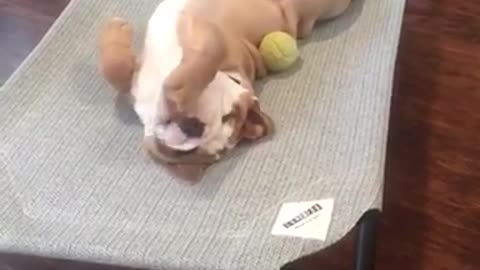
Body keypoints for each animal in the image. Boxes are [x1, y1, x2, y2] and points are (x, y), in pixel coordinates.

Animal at [98, 0, 352, 178]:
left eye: (227, 117)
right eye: (186, 153)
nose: (194, 127)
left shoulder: (212, 35)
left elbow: (209, 54)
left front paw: (176, 93)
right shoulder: (136, 79)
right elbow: (115, 69)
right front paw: (116, 29)